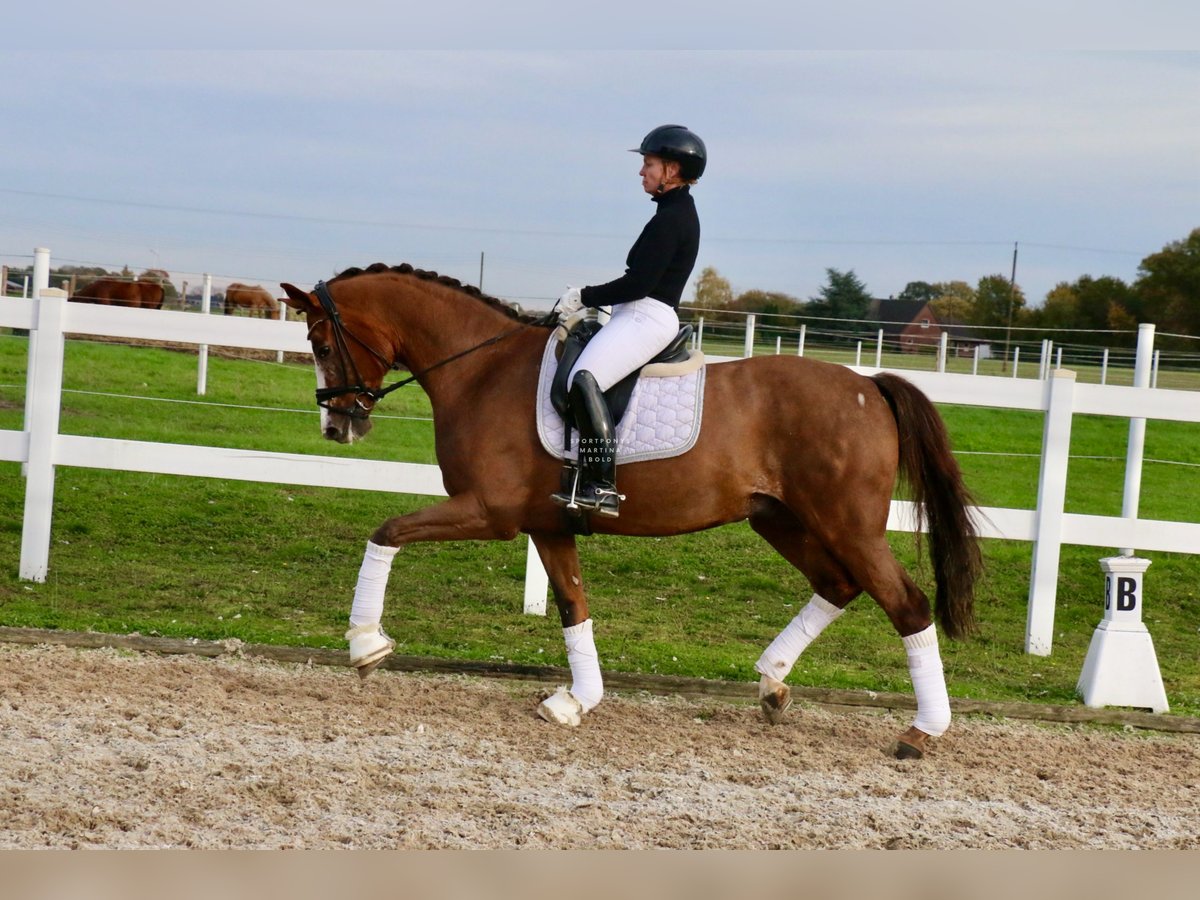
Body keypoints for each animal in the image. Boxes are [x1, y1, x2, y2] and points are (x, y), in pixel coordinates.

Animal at [279, 263, 983, 760]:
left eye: (319, 342)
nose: (337, 427)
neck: (481, 368)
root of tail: (868, 385)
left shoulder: (489, 513)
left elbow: (387, 532)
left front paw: (366, 644)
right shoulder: (546, 523)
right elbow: (573, 606)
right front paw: (576, 701)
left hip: (847, 524)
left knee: (906, 604)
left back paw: (921, 733)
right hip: (778, 518)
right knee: (837, 586)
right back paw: (772, 686)